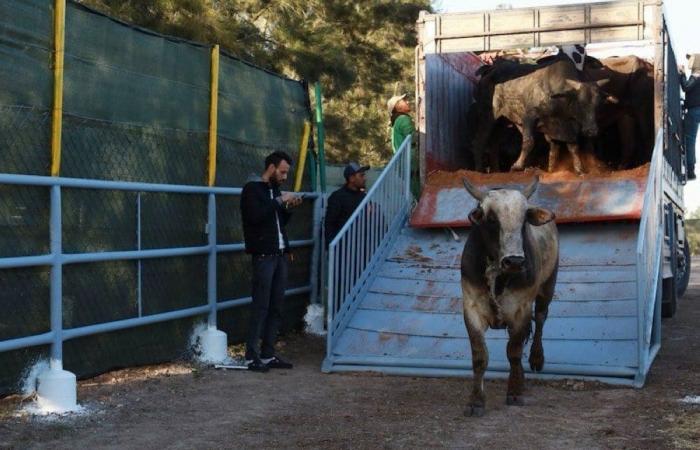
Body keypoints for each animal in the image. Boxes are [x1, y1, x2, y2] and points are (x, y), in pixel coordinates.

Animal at [462, 177, 560, 418]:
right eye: (491, 219)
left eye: (524, 219)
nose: (514, 261)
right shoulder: (471, 308)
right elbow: (480, 356)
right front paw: (475, 401)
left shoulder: (521, 309)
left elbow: (514, 352)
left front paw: (515, 392)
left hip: (547, 288)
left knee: (540, 320)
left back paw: (536, 359)